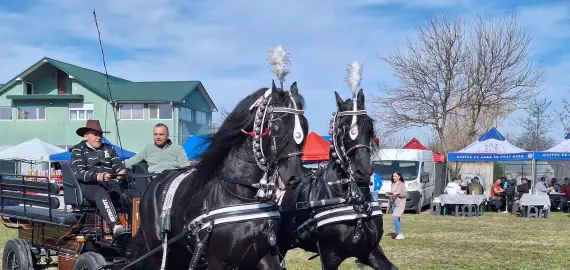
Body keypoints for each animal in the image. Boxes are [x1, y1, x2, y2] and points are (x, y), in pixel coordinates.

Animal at [127, 82, 308, 270]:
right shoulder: (216, 260)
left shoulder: (266, 254)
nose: (294, 176)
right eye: (277, 126)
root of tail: (155, 182)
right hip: (158, 250)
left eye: (304, 126)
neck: (240, 195)